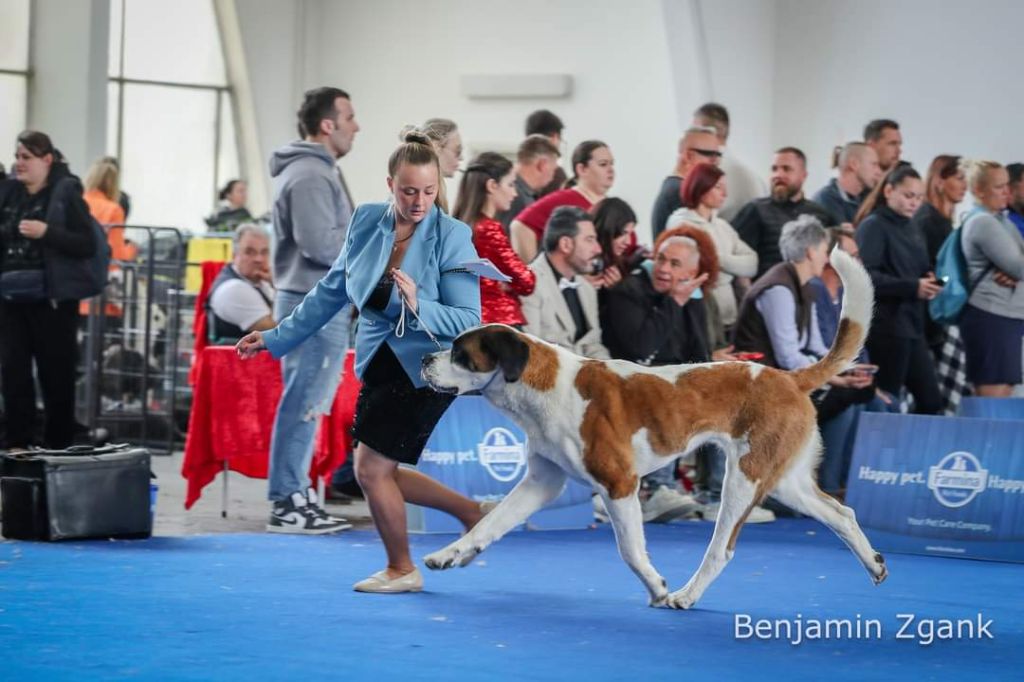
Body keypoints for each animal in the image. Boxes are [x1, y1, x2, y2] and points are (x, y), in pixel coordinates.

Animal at [419, 248, 884, 606]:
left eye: (460, 354)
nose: (424, 359)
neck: (544, 384)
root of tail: (787, 378)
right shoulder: (541, 482)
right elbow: (490, 523)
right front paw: (452, 553)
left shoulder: (619, 484)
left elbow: (629, 549)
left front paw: (656, 587)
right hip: (783, 479)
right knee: (841, 513)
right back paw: (873, 562)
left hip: (744, 480)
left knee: (722, 549)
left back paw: (686, 595)